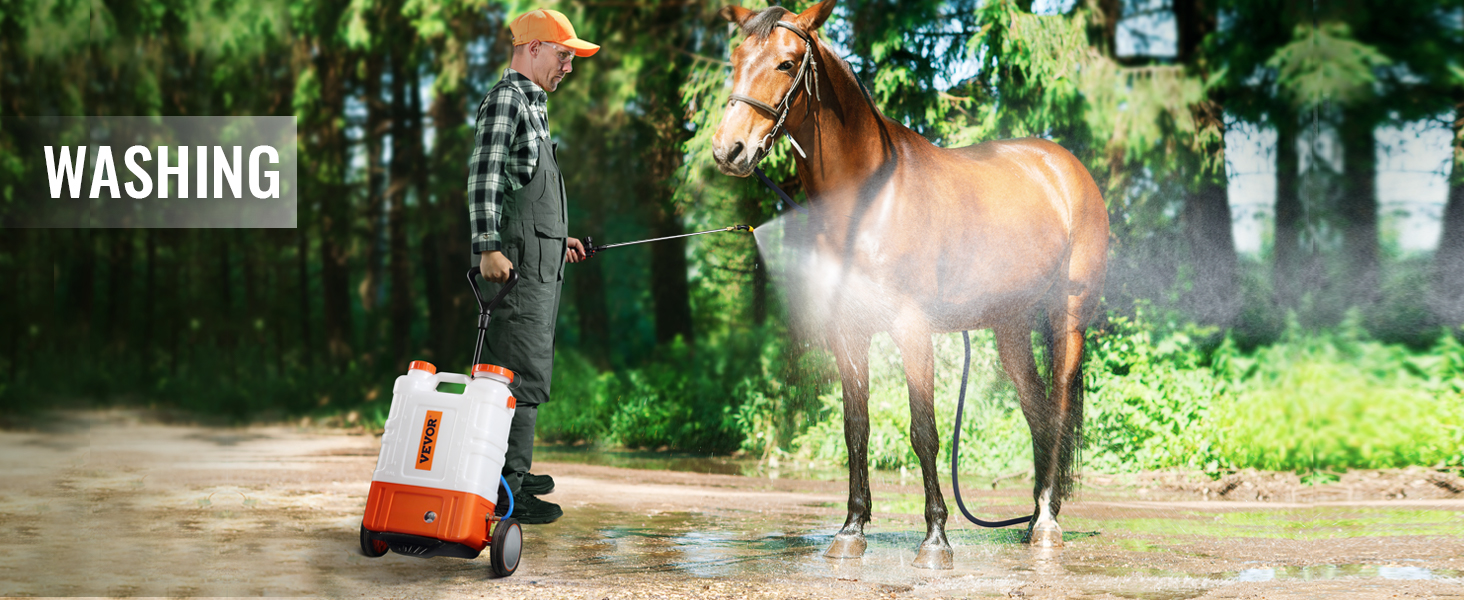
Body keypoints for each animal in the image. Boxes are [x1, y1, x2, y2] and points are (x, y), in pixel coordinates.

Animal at [711, 0, 1109, 569]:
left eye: (787, 63)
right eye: (736, 59)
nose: (730, 150)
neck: (870, 201)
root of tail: (1064, 166)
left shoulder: (911, 329)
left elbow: (924, 432)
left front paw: (935, 540)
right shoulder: (849, 332)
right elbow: (856, 429)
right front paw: (850, 531)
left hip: (1068, 319)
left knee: (1055, 407)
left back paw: (1048, 525)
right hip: (1009, 326)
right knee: (1036, 411)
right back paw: (1036, 516)